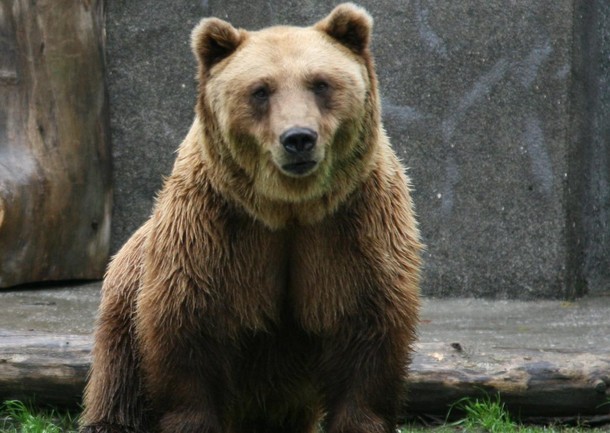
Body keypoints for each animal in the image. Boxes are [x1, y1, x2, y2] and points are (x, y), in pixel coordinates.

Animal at [81, 4, 420, 432]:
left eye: (320, 83)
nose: (298, 138)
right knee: (121, 377)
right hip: (127, 288)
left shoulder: (354, 227)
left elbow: (366, 331)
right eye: (261, 90)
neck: (288, 206)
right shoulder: (213, 230)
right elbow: (190, 333)